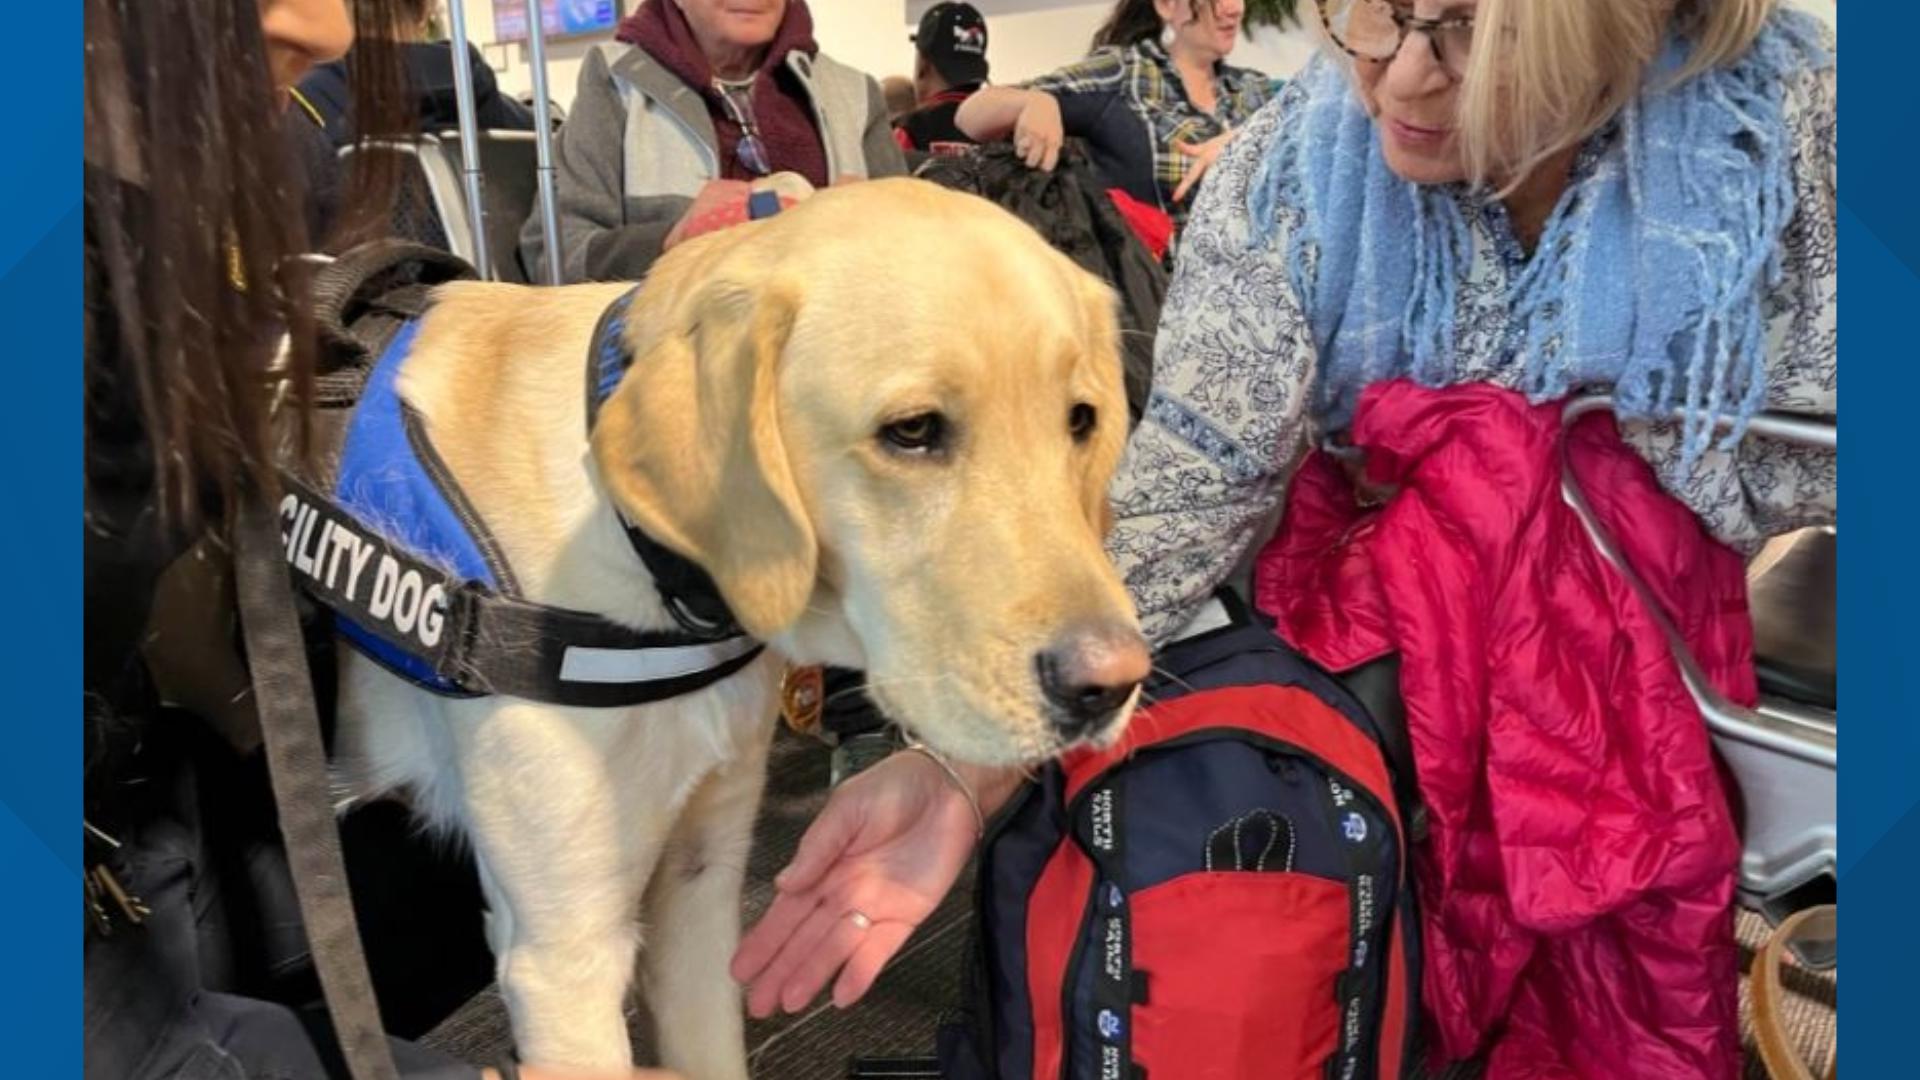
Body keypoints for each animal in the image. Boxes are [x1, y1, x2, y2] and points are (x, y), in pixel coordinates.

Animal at [330, 180, 1144, 1068]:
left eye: (1081, 420)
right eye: (913, 430)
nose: (1112, 686)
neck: (650, 566)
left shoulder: (698, 884)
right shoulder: (564, 959)